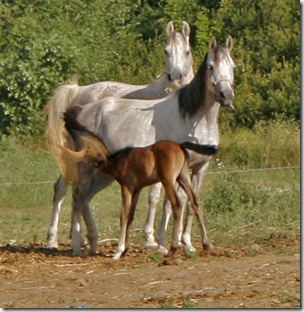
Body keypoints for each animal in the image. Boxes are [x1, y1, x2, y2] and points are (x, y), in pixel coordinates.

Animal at [54, 36, 235, 256]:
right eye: (210, 66)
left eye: (232, 66)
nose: (226, 95)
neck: (193, 118)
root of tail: (81, 109)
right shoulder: (173, 173)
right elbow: (170, 203)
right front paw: (163, 243)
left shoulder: (200, 167)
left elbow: (192, 203)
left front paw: (190, 243)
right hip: (85, 165)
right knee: (77, 195)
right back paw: (74, 244)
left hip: (102, 172)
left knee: (84, 196)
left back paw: (92, 242)